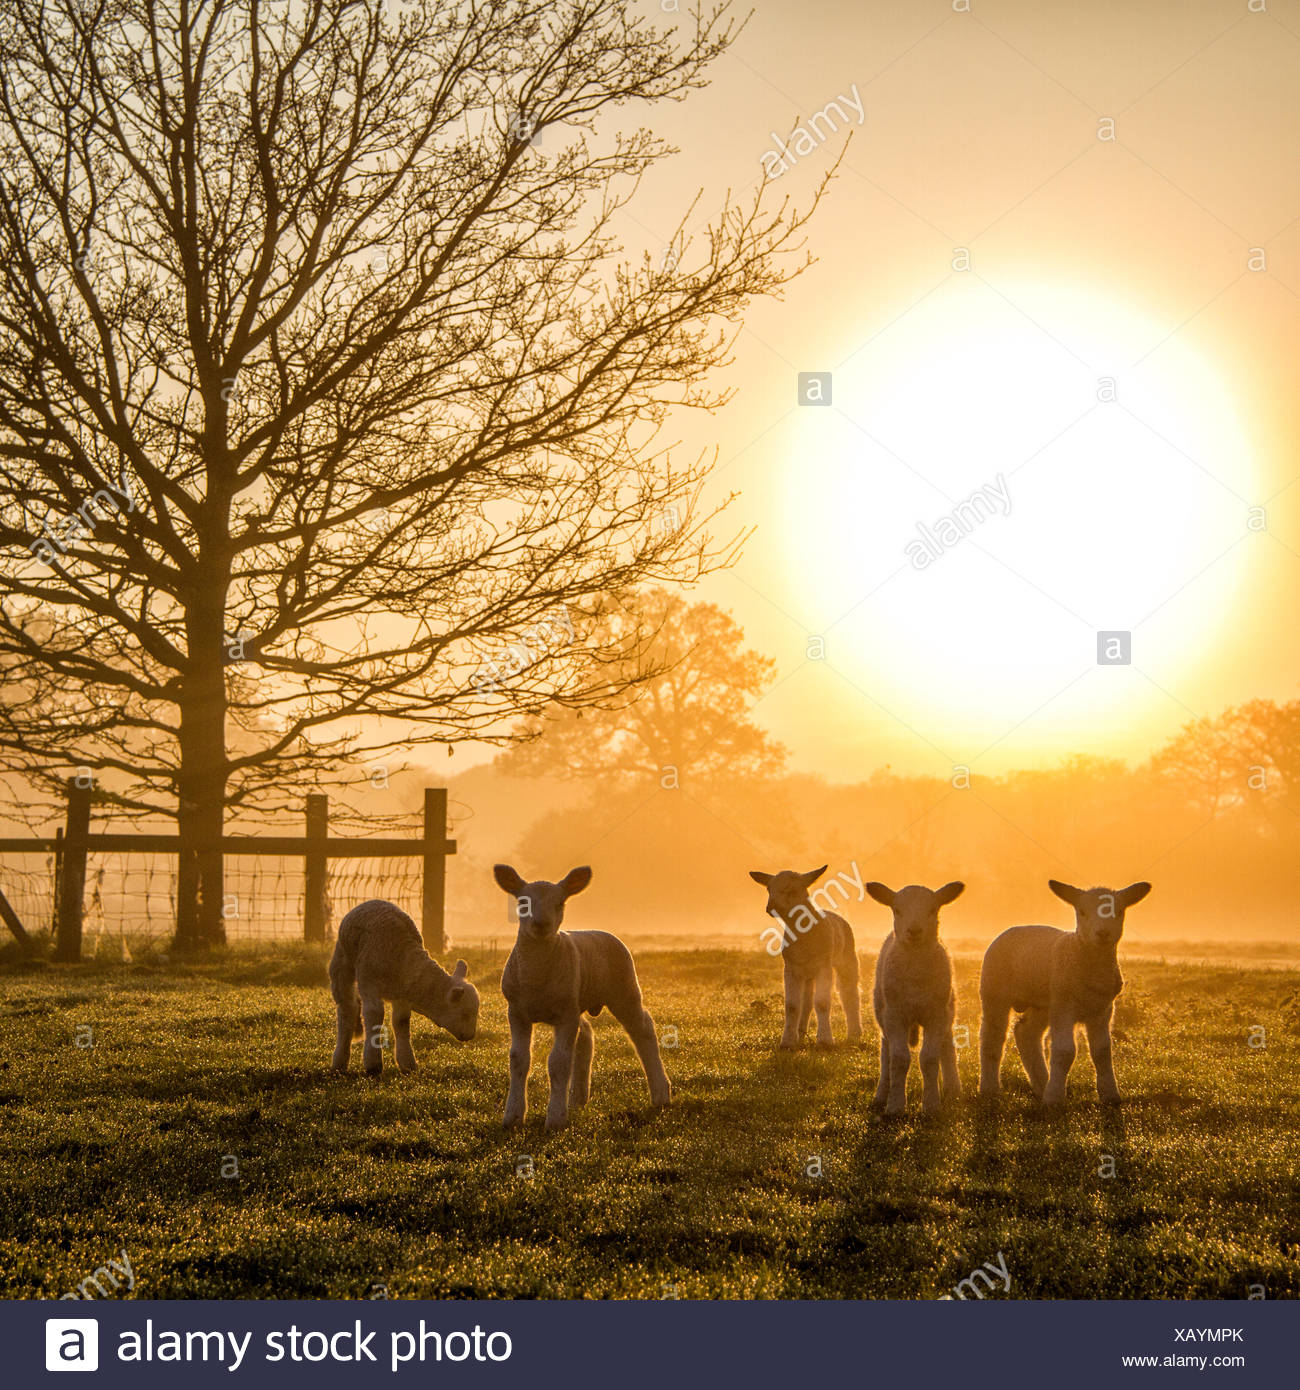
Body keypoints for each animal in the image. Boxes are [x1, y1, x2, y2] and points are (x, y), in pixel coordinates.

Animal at [330, 895, 483, 1078]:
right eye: (465, 1014)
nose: (470, 1036)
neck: (403, 959)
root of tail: (373, 901)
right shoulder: (369, 983)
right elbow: (374, 1015)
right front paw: (373, 1065)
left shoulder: (403, 993)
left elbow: (401, 1021)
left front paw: (407, 1064)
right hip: (342, 961)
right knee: (347, 1009)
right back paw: (339, 1062)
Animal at [489, 861, 670, 1134]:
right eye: (522, 902)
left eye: (560, 903)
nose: (541, 924)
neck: (536, 978)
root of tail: (601, 932)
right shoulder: (517, 1011)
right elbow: (519, 1059)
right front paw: (512, 1117)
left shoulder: (565, 1014)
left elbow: (558, 1062)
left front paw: (555, 1119)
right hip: (578, 1001)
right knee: (586, 1034)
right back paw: (577, 1098)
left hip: (625, 989)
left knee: (643, 1031)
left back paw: (661, 1094)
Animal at [745, 861, 856, 1045]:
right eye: (769, 888)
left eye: (793, 889)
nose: (771, 907)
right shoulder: (791, 967)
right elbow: (792, 1005)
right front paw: (788, 1041)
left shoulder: (824, 966)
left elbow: (823, 1002)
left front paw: (825, 1041)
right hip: (808, 975)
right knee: (807, 1002)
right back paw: (801, 1034)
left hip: (847, 958)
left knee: (849, 993)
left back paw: (855, 1034)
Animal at [862, 878, 967, 1117]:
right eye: (897, 910)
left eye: (933, 909)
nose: (914, 930)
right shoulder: (895, 1015)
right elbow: (899, 1059)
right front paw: (895, 1106)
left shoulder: (936, 1014)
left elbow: (929, 1058)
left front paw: (931, 1105)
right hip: (883, 1012)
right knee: (886, 1051)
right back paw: (881, 1094)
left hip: (948, 1008)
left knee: (947, 1045)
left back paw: (953, 1089)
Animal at [978, 878, 1151, 1106]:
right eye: (1082, 912)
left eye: (1120, 911)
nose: (1103, 933)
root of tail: (1014, 928)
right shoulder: (1064, 1005)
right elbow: (1064, 1051)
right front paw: (1054, 1099)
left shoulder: (1103, 1009)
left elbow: (1103, 1051)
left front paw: (1110, 1095)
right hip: (994, 991)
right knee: (992, 1037)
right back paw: (990, 1089)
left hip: (1043, 1003)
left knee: (1026, 1033)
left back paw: (1042, 1084)